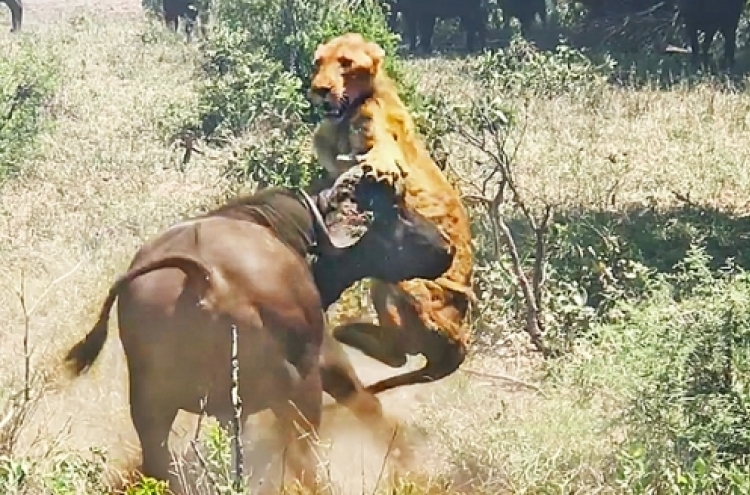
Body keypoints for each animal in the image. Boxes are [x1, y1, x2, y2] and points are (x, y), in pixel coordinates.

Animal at [310, 33, 476, 398]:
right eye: (318, 62)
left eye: (345, 62)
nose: (319, 89)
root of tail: (463, 334)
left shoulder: (382, 141)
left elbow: (382, 158)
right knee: (401, 355)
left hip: (405, 278)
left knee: (403, 353)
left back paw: (348, 331)